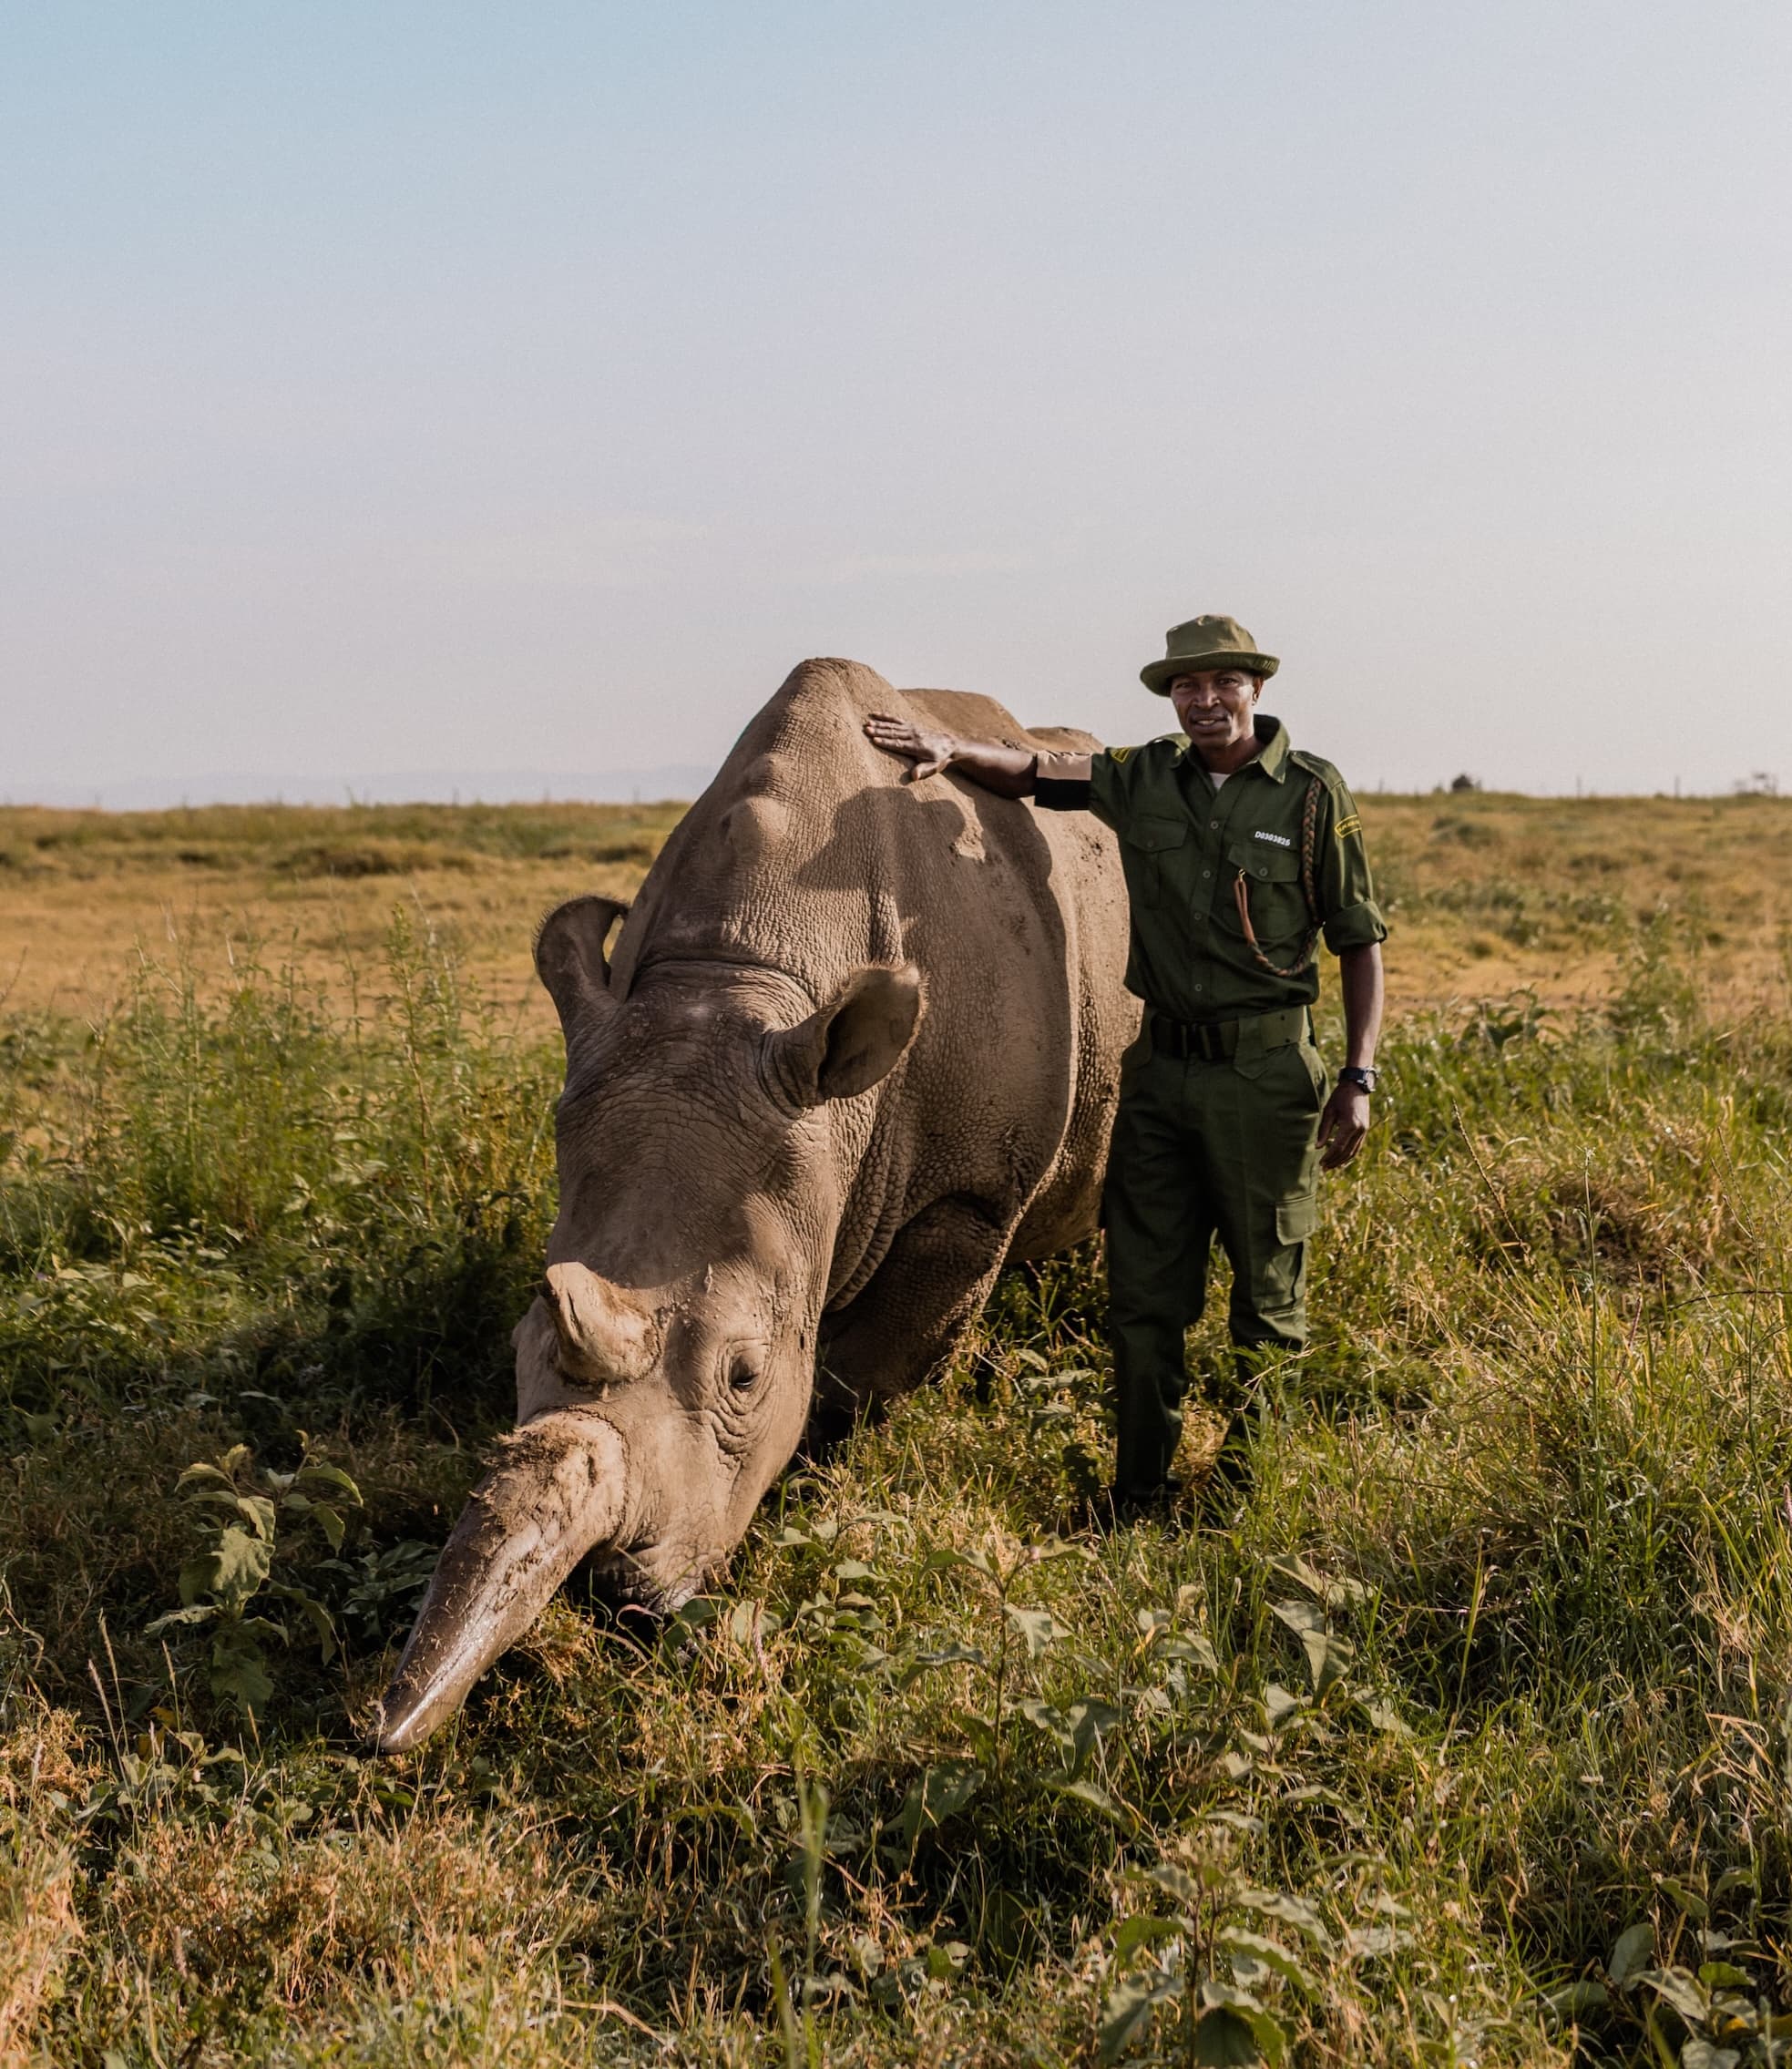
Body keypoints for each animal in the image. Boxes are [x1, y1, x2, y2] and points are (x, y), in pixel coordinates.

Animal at [374, 658, 1135, 1751]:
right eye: (518, 1344)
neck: (747, 980)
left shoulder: (967, 1192)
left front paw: (817, 1486)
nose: (614, 1597)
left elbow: (861, 1380)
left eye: (744, 1374)